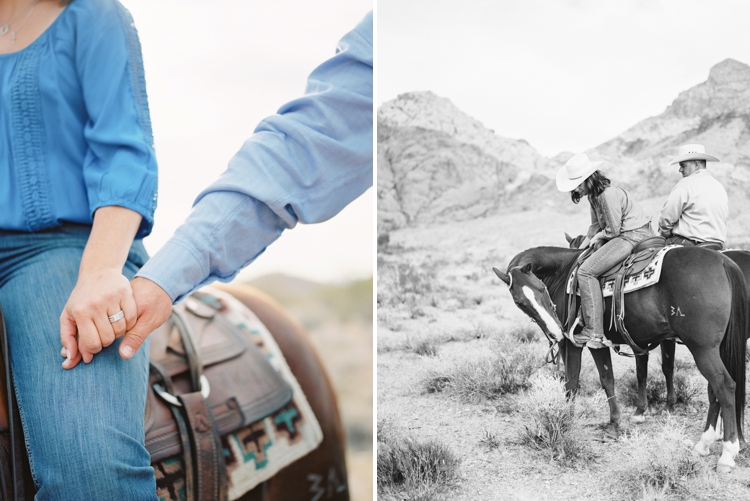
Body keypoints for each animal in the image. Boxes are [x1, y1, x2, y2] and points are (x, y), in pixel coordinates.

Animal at [568, 232, 750, 420]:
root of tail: (725, 263)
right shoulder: (644, 339)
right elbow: (651, 369)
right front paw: (652, 407)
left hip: (705, 348)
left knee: (721, 385)